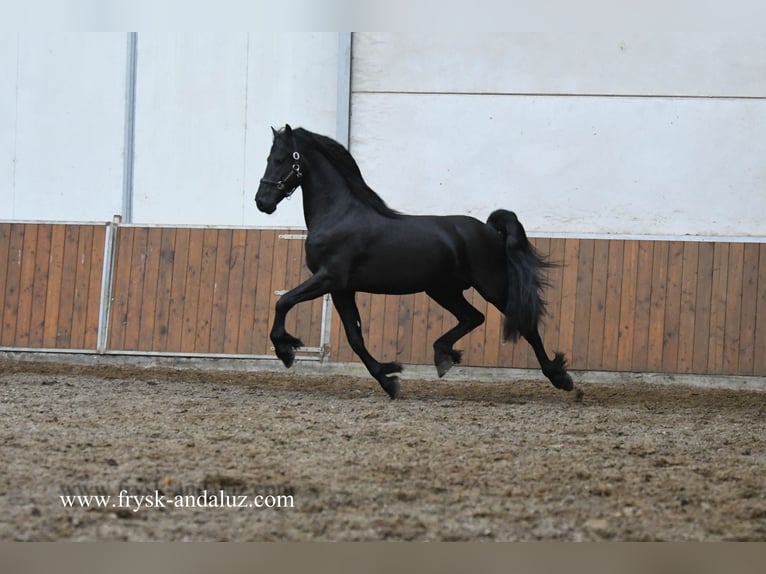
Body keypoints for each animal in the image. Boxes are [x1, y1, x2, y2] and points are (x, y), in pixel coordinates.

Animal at [255, 125, 572, 400]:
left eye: (281, 159)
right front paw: (388, 379)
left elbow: (283, 302)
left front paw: (285, 350)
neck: (338, 215)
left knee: (525, 326)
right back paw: (443, 356)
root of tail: (490, 229)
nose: (262, 202)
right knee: (473, 317)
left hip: (492, 285)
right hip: (443, 290)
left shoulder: (328, 278)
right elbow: (355, 337)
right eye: (269, 158)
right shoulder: (342, 289)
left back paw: (560, 378)